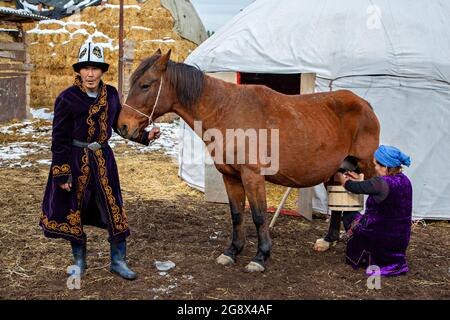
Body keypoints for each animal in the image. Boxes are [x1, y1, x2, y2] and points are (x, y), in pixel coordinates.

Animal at [117, 50, 380, 272]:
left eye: (146, 85)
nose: (123, 126)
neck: (227, 112)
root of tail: (364, 104)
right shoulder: (230, 176)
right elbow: (236, 214)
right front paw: (232, 251)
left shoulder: (252, 176)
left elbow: (258, 215)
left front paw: (261, 256)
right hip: (334, 169)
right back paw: (328, 240)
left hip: (365, 164)